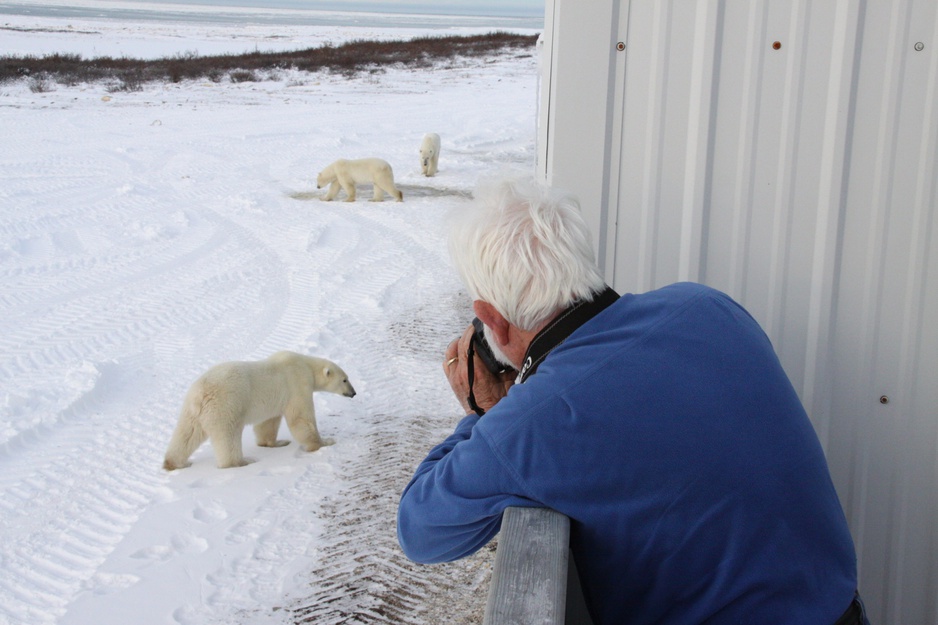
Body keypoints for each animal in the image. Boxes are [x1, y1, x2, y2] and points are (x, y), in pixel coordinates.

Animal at [161, 352, 354, 468]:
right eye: (345, 379)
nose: (354, 392)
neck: (306, 365)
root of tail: (200, 395)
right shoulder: (297, 383)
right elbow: (300, 418)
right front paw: (324, 442)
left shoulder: (274, 401)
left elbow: (267, 423)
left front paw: (276, 442)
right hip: (225, 406)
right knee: (228, 436)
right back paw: (242, 461)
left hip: (192, 411)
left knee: (187, 434)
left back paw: (174, 463)